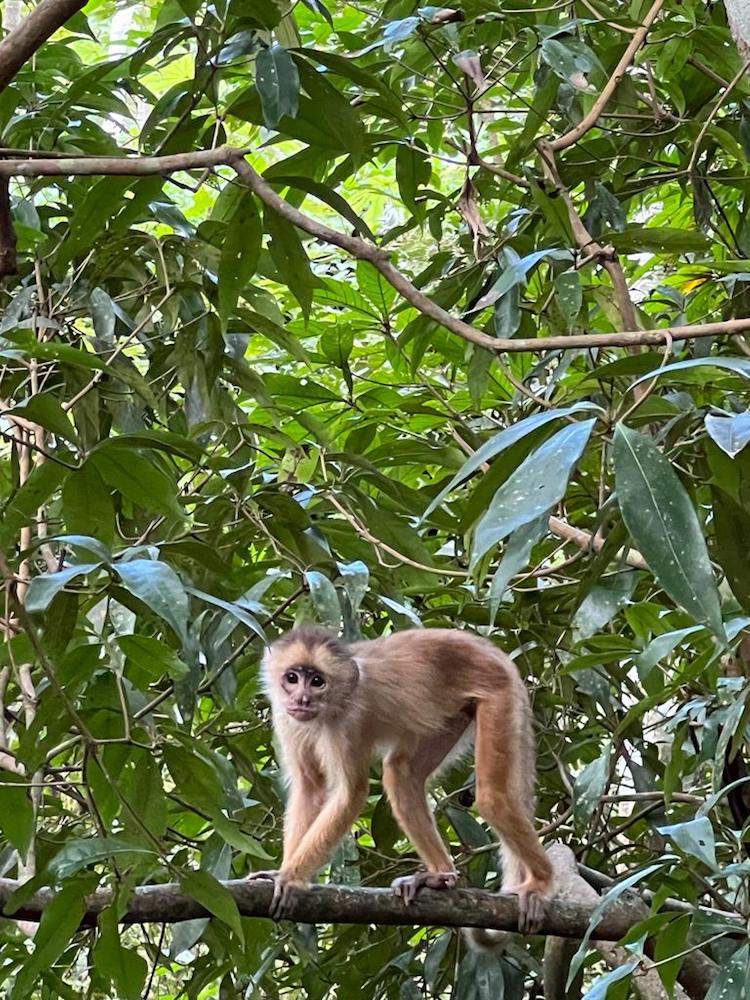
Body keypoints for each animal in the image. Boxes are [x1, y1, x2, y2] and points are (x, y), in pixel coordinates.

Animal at [250, 624, 556, 936]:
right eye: (292, 678)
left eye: (316, 681)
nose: (301, 698)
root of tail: (494, 654)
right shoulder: (285, 716)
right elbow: (311, 786)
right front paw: (283, 872)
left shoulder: (348, 722)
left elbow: (350, 795)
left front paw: (291, 877)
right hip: (456, 711)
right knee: (401, 775)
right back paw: (441, 876)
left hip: (497, 694)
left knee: (491, 798)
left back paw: (541, 882)